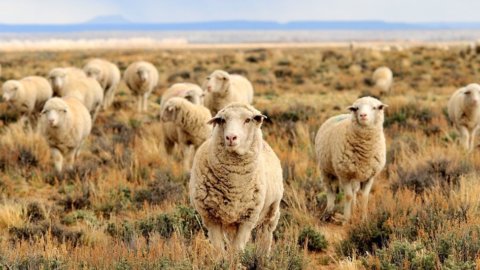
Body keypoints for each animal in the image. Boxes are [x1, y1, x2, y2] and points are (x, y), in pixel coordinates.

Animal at [188, 102, 284, 255]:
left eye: (248, 120)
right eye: (222, 120)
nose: (231, 137)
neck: (234, 184)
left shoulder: (247, 219)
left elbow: (237, 249)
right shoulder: (211, 218)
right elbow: (219, 250)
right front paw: (222, 260)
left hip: (271, 212)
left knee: (265, 235)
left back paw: (263, 256)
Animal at [316, 96, 390, 224]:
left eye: (375, 107)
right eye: (356, 108)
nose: (363, 115)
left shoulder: (370, 176)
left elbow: (364, 197)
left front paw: (364, 219)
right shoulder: (344, 174)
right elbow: (348, 196)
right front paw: (346, 219)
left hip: (355, 174)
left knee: (354, 190)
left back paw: (354, 208)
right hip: (325, 170)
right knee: (330, 191)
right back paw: (328, 212)